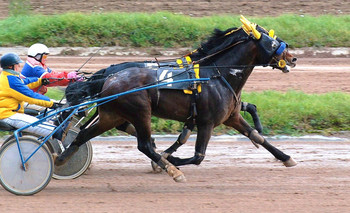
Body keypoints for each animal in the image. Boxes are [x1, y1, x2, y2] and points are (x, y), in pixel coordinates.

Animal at [57, 15, 298, 181]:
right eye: (273, 43)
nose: (292, 58)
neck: (217, 75)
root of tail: (110, 77)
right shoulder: (206, 122)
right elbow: (198, 156)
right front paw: (169, 159)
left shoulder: (231, 117)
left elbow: (257, 136)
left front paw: (286, 158)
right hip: (140, 111)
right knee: (143, 144)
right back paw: (171, 168)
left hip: (112, 114)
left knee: (84, 135)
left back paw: (61, 159)